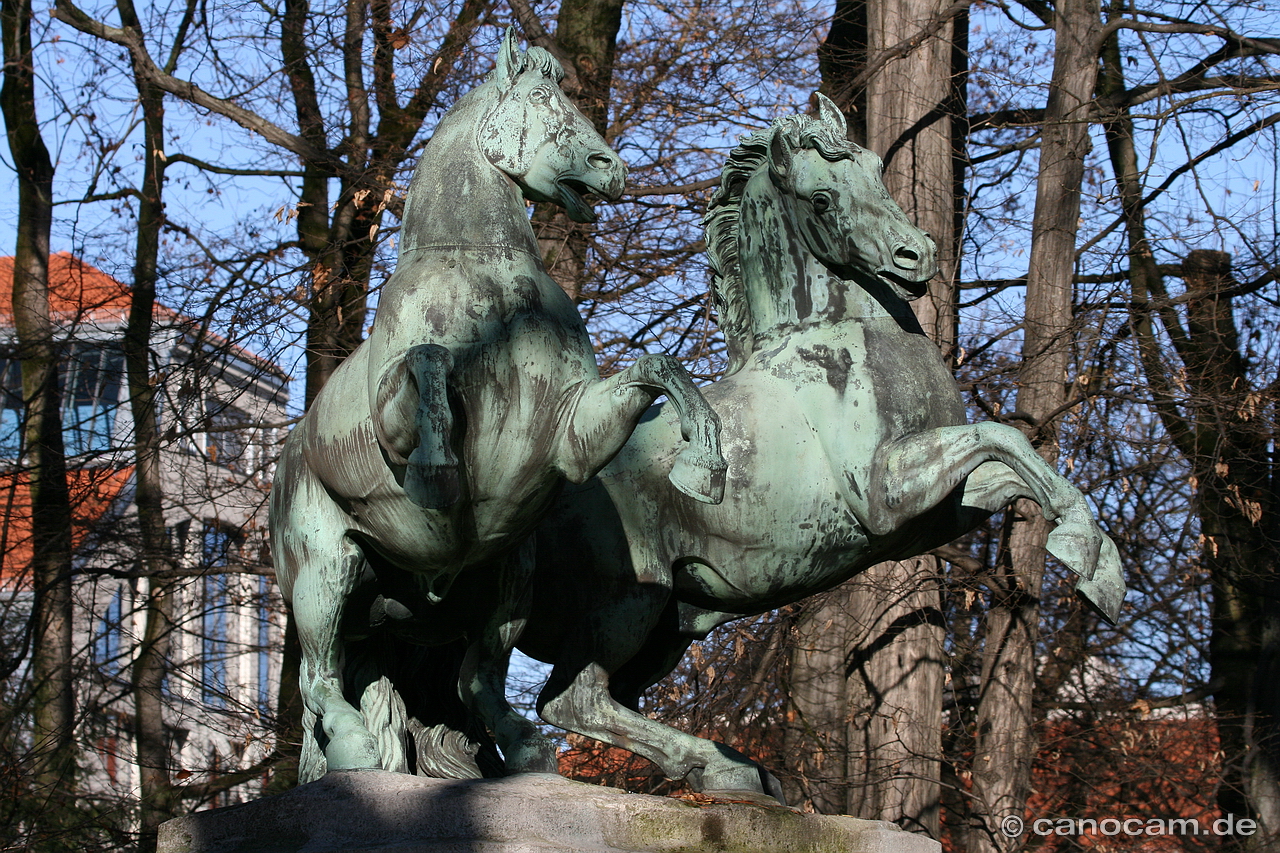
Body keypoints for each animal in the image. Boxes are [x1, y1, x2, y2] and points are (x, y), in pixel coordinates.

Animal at [271, 31, 727, 778]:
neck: (490, 279)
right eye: (542, 100)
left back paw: (523, 747)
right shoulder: (396, 417)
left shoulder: (573, 434)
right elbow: (427, 364)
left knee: (472, 678)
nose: (613, 170)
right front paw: (437, 468)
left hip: (506, 575)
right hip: (326, 570)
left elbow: (659, 367)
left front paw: (706, 465)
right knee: (321, 678)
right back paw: (355, 744)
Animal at [517, 96, 1121, 799]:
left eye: (877, 169)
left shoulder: (935, 516)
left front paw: (1097, 558)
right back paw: (722, 767)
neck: (838, 339)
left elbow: (1013, 461)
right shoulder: (885, 496)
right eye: (823, 198)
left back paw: (734, 768)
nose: (916, 256)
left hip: (673, 624)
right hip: (627, 600)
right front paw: (1087, 559)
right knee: (572, 701)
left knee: (606, 700)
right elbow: (1001, 437)